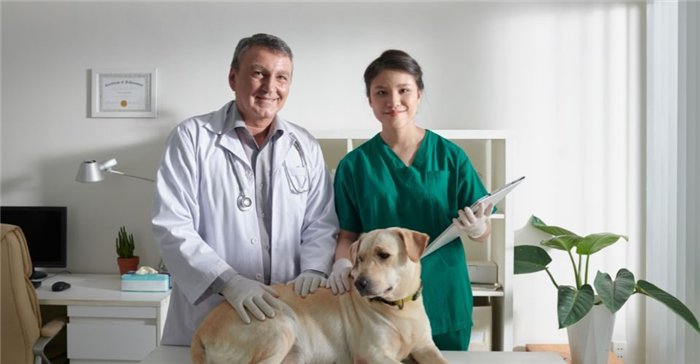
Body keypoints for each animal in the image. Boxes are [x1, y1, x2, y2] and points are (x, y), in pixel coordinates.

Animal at [190, 228, 448, 364]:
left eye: (383, 255)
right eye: (359, 258)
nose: (360, 283)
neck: (398, 309)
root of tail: (199, 333)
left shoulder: (426, 347)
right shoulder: (372, 353)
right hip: (282, 325)